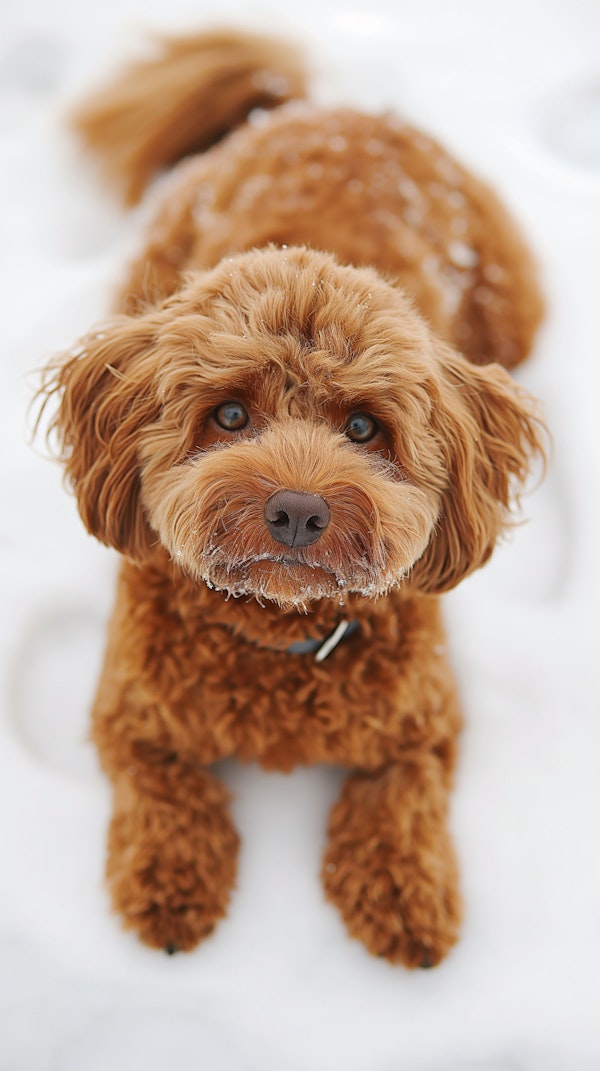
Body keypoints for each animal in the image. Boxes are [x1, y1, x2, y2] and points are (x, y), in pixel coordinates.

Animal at [36, 29, 544, 968]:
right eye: (231, 414)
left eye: (365, 427)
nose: (299, 511)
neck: (275, 635)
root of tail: (317, 109)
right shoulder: (128, 709)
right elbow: (162, 785)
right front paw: (170, 884)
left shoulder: (428, 719)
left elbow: (399, 792)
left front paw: (405, 895)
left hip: (510, 298)